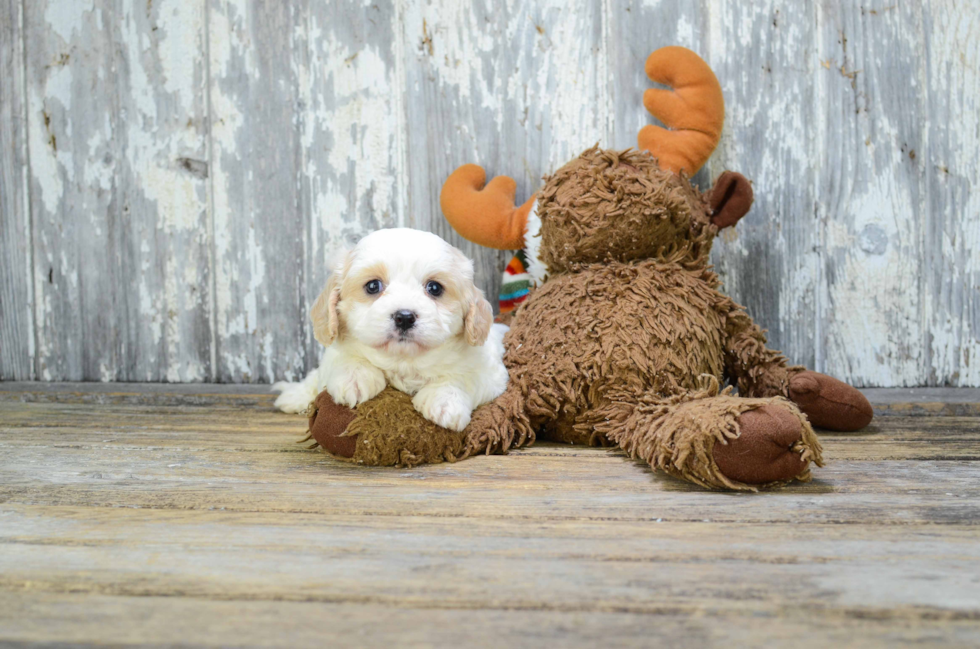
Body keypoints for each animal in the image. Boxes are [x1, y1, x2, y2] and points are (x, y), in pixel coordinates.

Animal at [272, 228, 510, 430]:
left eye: (434, 288)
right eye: (373, 286)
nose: (404, 317)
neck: (403, 362)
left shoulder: (491, 373)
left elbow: (464, 376)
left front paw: (443, 401)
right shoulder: (334, 353)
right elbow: (344, 358)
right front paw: (354, 379)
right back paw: (294, 395)